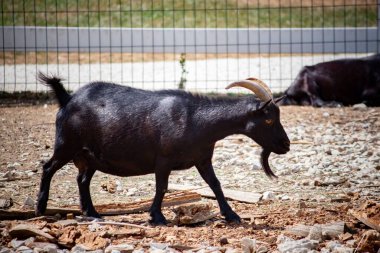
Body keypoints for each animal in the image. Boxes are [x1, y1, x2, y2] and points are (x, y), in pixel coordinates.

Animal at [36, 72, 290, 224]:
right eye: (269, 119)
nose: (286, 145)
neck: (196, 119)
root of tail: (67, 99)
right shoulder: (163, 160)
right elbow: (162, 188)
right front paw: (157, 216)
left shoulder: (202, 159)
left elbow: (215, 184)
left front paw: (231, 215)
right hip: (67, 145)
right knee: (48, 168)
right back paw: (40, 208)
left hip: (89, 156)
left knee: (82, 180)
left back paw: (92, 213)